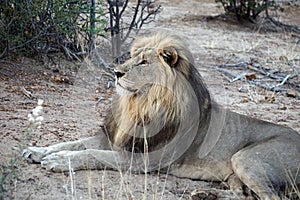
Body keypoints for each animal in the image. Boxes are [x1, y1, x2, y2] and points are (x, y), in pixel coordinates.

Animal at [23, 32, 300, 199]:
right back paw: (205, 194)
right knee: (244, 195)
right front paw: (37, 150)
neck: (143, 103)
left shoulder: (144, 159)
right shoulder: (114, 138)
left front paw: (59, 161)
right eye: (133, 58)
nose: (116, 72)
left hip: (245, 158)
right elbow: (72, 143)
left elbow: (91, 154)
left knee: (271, 197)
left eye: (144, 63)